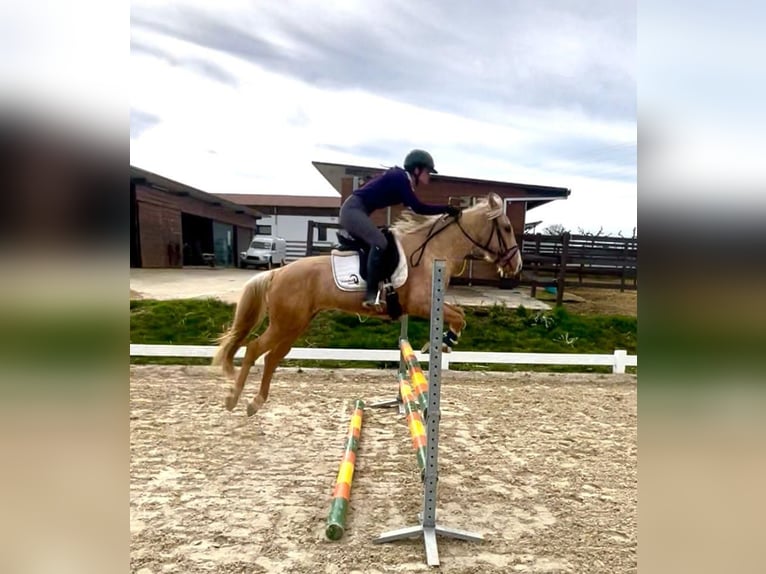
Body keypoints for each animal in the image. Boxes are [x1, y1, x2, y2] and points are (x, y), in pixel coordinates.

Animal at [213, 192, 523, 416]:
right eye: (507, 228)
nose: (516, 265)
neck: (432, 250)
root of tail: (277, 272)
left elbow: (460, 314)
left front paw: (445, 342)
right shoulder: (422, 304)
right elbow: (459, 316)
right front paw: (444, 341)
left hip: (294, 325)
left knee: (272, 358)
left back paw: (256, 402)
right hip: (285, 324)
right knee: (254, 349)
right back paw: (234, 399)